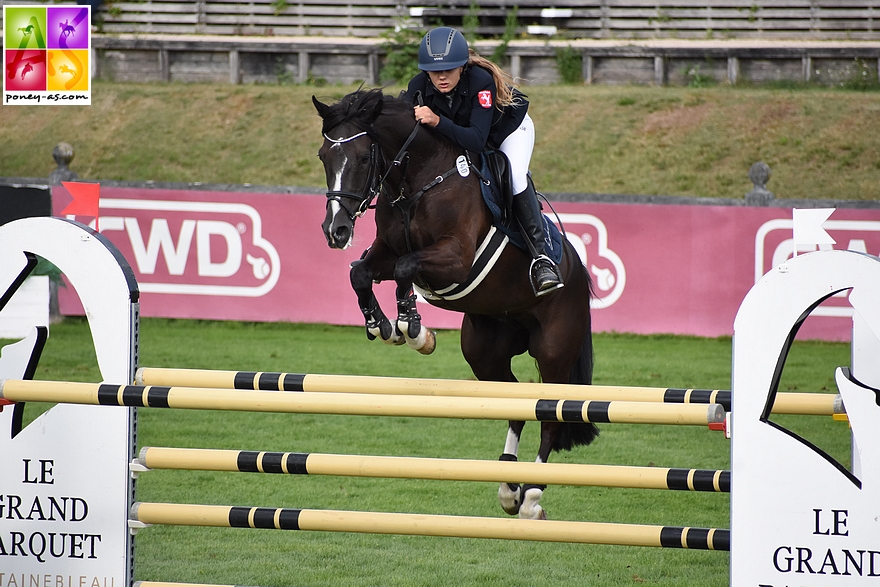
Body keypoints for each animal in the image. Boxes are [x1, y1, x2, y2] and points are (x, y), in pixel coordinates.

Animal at [312, 87, 596, 520]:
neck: (418, 180)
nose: (336, 230)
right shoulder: (386, 250)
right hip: (485, 352)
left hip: (554, 349)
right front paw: (384, 326)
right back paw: (508, 488)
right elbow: (360, 272)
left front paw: (412, 327)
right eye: (324, 156)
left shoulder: (456, 258)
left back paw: (532, 497)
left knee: (551, 413)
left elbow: (406, 268)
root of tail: (578, 272)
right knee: (514, 400)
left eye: (362, 158)